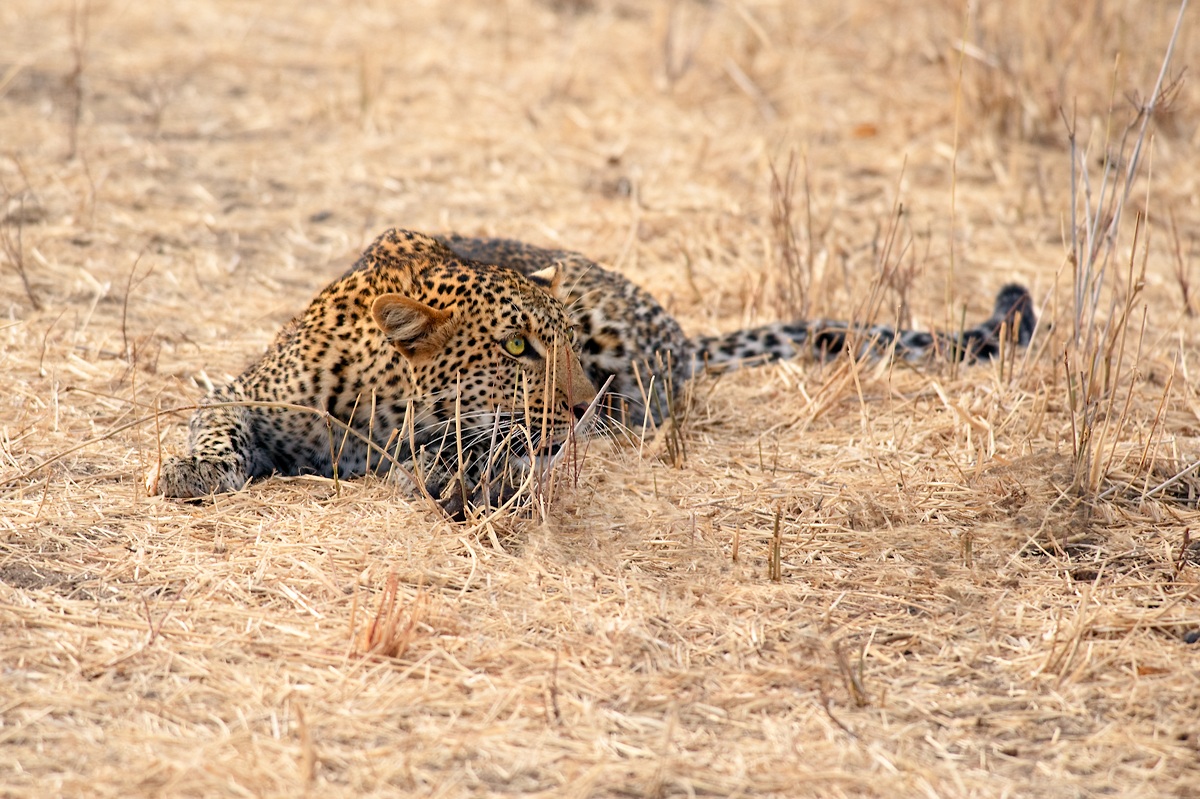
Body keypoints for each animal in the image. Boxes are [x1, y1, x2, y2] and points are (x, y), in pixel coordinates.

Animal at [149, 227, 1035, 517]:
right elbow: (217, 420)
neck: (381, 406)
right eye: (515, 349)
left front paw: (458, 475)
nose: (578, 404)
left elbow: (486, 447)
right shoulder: (250, 394)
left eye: (562, 344)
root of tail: (677, 328)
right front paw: (193, 468)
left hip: (619, 342)